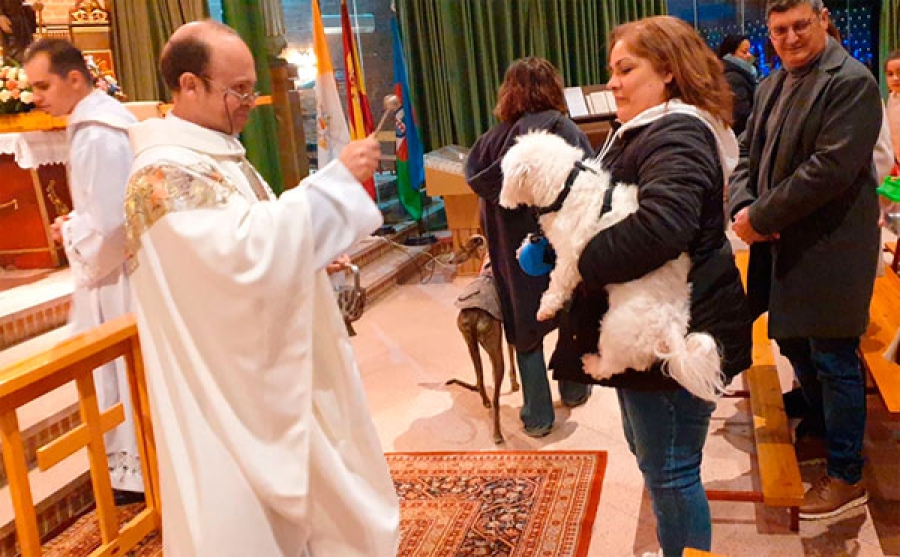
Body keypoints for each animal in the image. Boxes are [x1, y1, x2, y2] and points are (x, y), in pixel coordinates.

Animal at [500, 130, 724, 400]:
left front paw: (546, 307)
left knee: (613, 365)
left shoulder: (571, 257)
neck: (566, 188)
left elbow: (557, 283)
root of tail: (671, 328)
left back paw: (594, 365)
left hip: (612, 330)